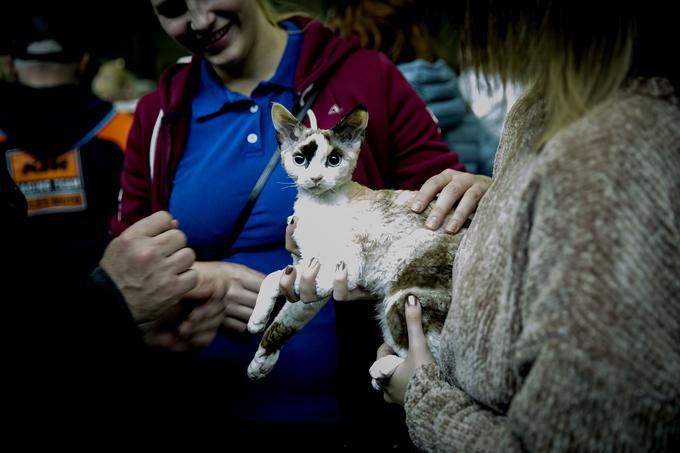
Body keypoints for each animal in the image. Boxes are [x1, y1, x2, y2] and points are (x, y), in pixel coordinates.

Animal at [247, 103, 464, 388]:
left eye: (333, 160)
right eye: (300, 159)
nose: (315, 178)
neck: (317, 206)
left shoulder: (335, 268)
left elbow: (273, 277)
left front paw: (256, 324)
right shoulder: (306, 275)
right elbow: (285, 320)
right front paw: (260, 356)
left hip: (401, 298)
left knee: (437, 367)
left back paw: (383, 370)